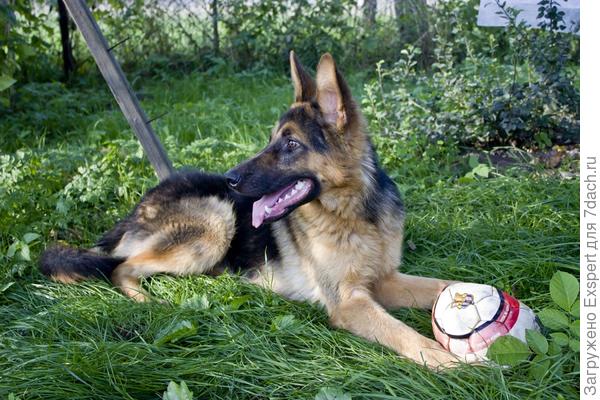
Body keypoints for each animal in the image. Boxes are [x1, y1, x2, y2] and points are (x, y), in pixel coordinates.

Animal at [41, 52, 460, 368]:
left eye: (290, 144)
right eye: (272, 139)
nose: (230, 178)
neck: (356, 213)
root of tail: (141, 204)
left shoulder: (385, 280)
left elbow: (443, 285)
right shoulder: (350, 302)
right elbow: (403, 333)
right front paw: (453, 362)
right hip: (215, 222)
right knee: (120, 268)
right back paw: (153, 302)